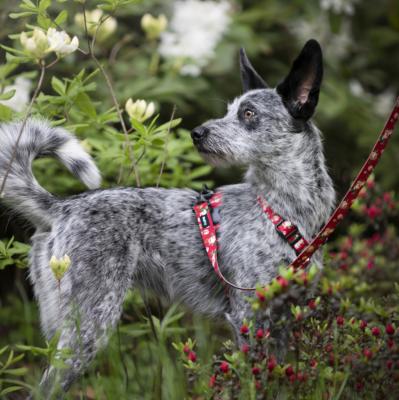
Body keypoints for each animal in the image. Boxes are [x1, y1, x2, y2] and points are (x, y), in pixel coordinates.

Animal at [0, 39, 336, 396]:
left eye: (248, 113)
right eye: (229, 110)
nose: (197, 133)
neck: (282, 209)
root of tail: (61, 207)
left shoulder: (285, 318)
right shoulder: (248, 318)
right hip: (88, 327)